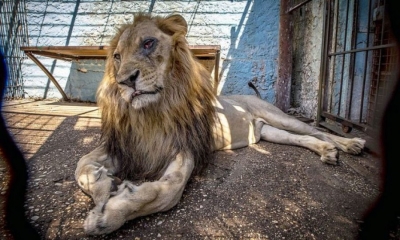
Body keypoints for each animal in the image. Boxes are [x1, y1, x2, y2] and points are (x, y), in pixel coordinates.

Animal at [75, 13, 366, 234]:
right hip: (269, 133)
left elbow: (168, 191)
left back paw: (350, 143)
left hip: (279, 116)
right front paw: (105, 187)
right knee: (304, 139)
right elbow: (81, 167)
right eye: (116, 57)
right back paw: (327, 152)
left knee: (316, 130)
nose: (125, 81)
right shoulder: (126, 146)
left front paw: (111, 212)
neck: (151, 113)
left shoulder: (185, 147)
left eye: (148, 43)